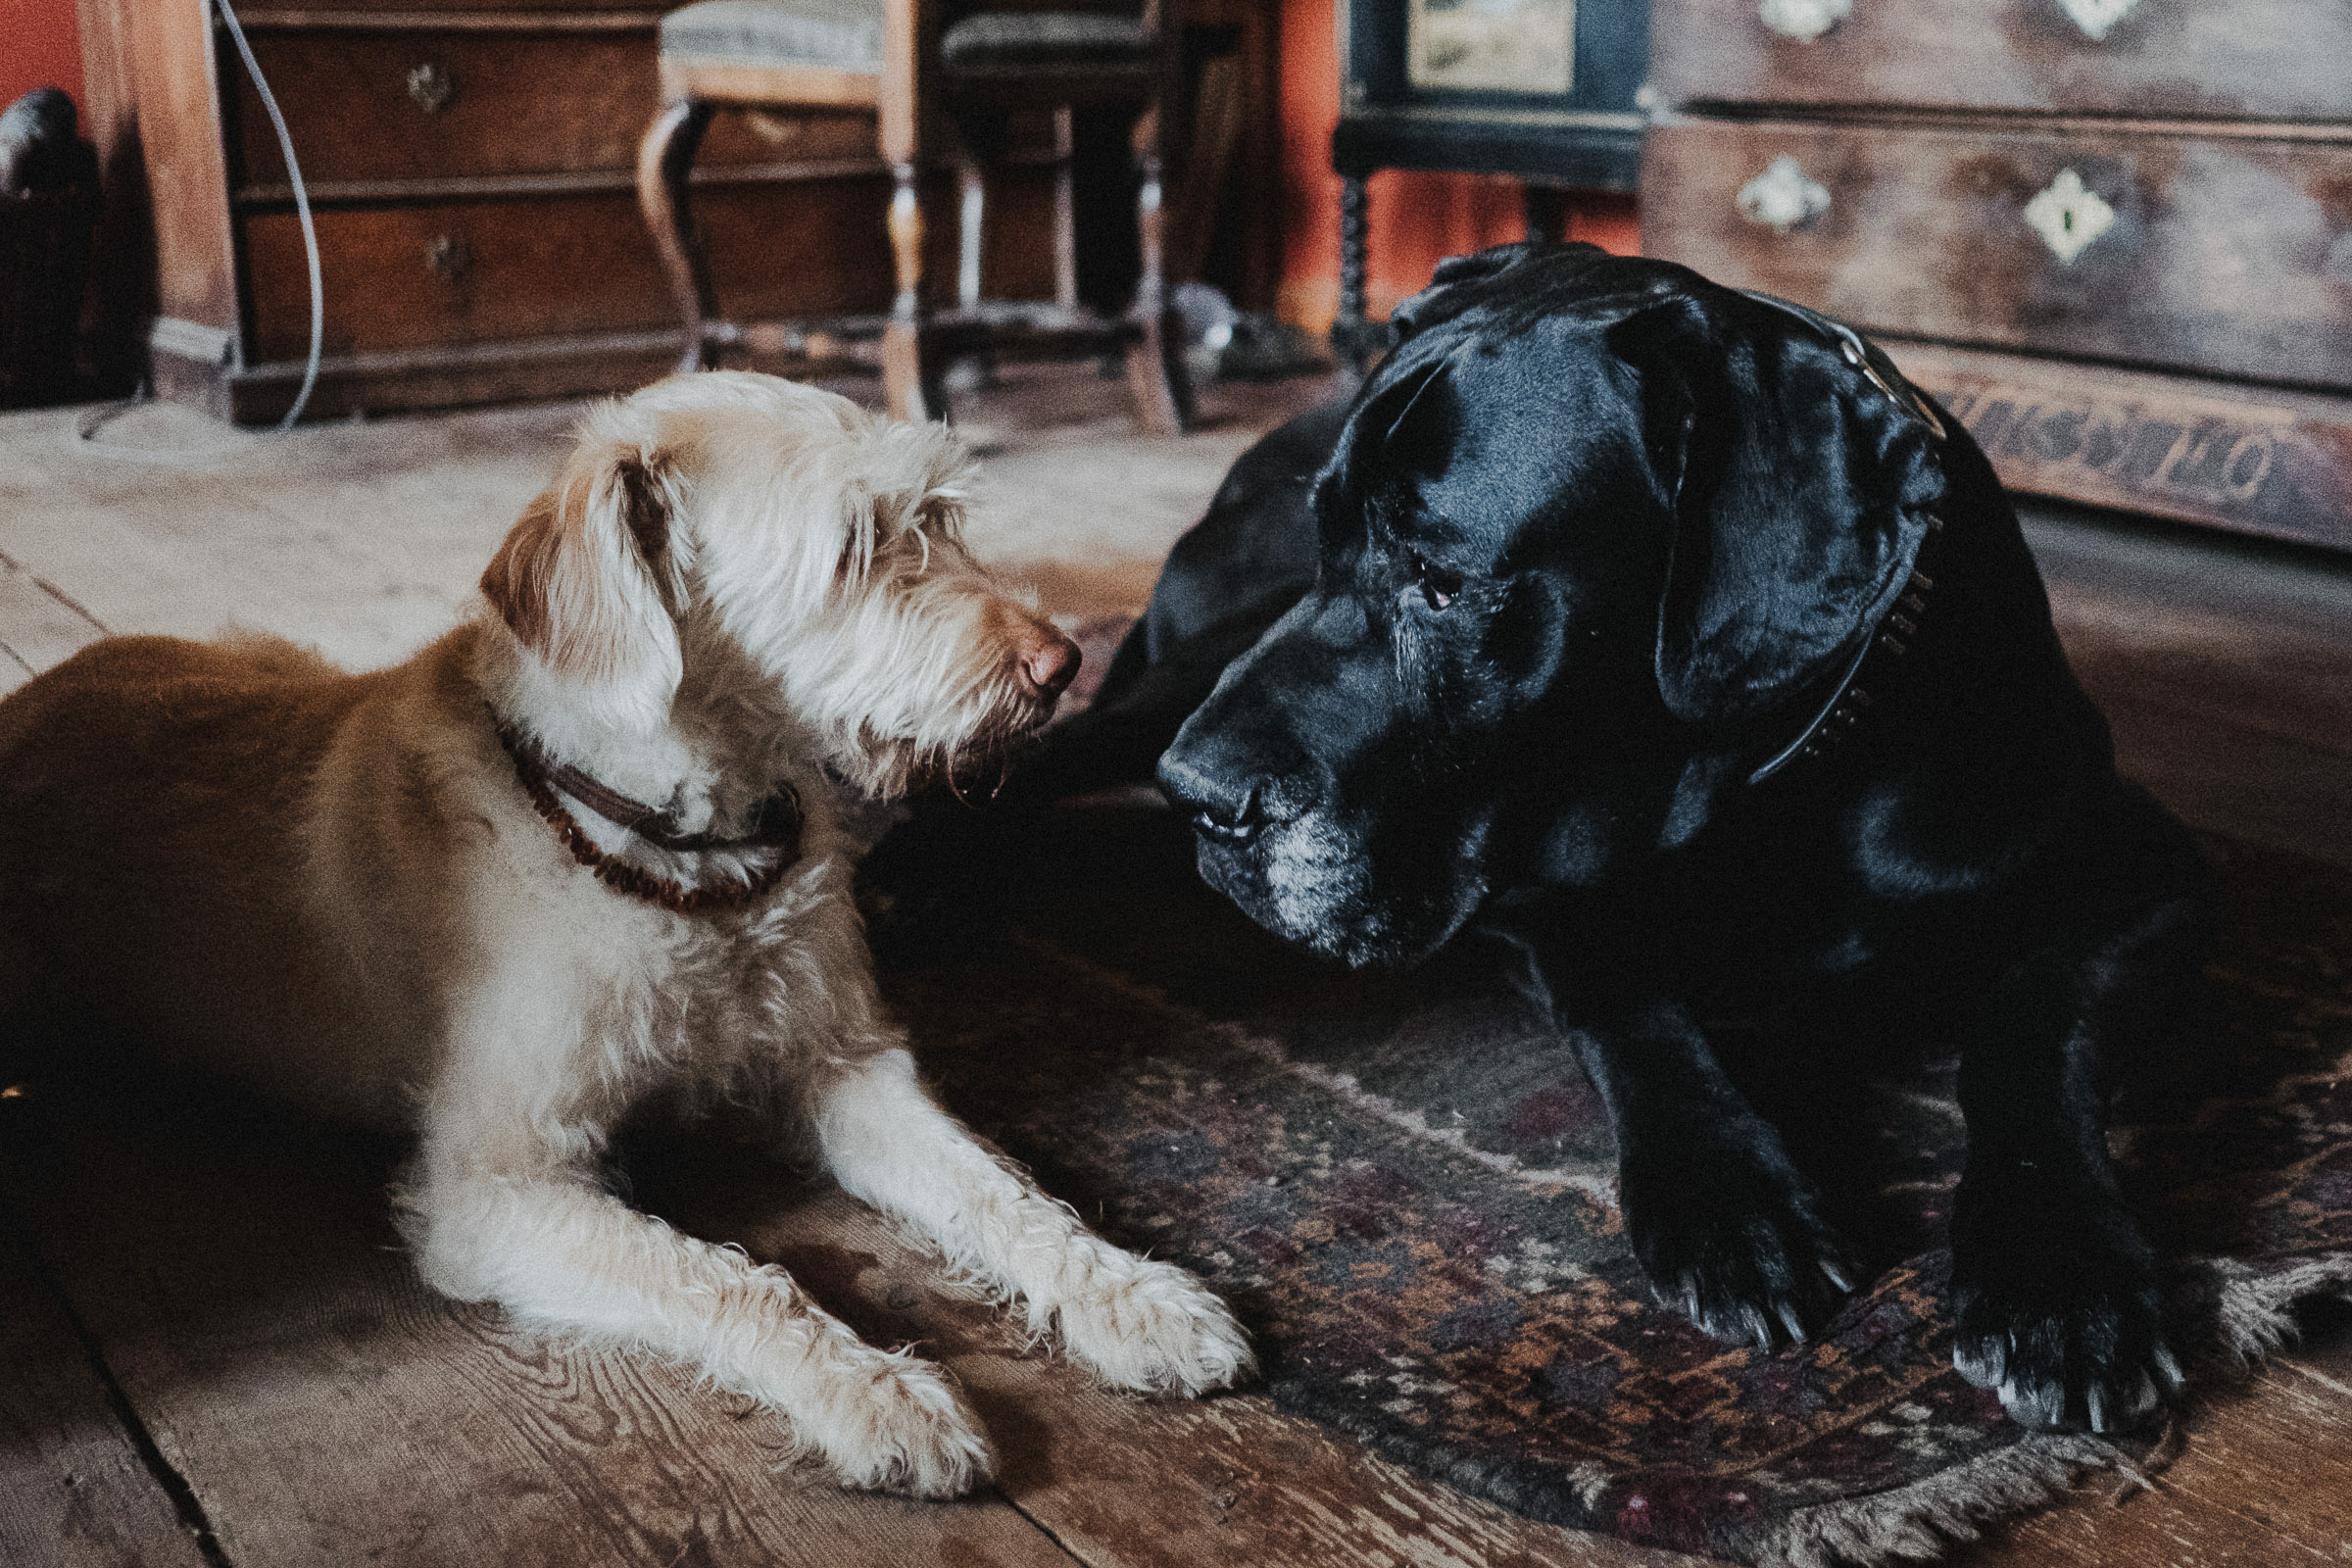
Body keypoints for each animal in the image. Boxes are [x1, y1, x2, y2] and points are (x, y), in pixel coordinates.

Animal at [0, 371, 1250, 1494]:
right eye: (852, 546)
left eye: (940, 516)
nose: (1062, 665)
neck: (696, 865)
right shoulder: (498, 1183)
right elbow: (723, 1276)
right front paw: (876, 1391)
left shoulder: (847, 1066)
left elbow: (1000, 1189)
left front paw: (1135, 1295)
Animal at [1030, 242, 2201, 1439]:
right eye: (1327, 540)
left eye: (1442, 582)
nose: (1198, 796)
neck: (1777, 795)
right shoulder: (1541, 895)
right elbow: (1630, 1002)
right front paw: (1729, 1192)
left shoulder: (2144, 873)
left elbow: (2035, 1022)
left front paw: (2058, 1269)